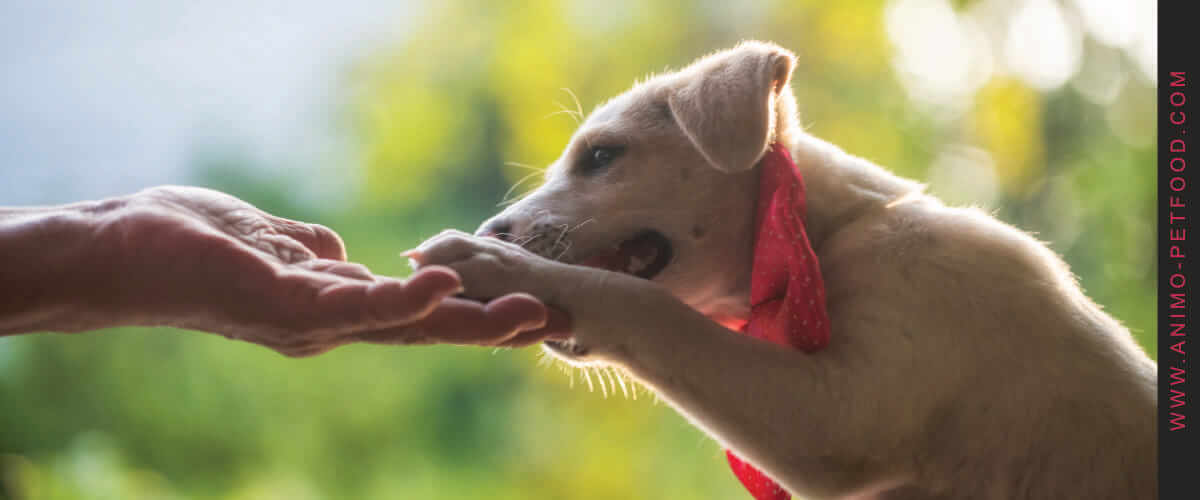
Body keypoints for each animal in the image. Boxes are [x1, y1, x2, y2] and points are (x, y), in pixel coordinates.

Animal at [408, 40, 1156, 496]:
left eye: (601, 156)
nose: (492, 231)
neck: (826, 239)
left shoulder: (835, 421)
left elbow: (643, 308)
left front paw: (494, 264)